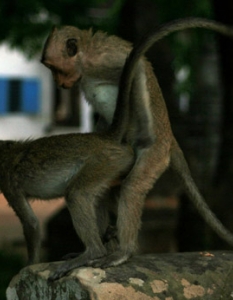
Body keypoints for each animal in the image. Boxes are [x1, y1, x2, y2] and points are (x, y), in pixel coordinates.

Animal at [41, 17, 233, 278]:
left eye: (56, 69)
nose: (58, 83)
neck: (87, 59)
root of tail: (171, 140)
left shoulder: (108, 59)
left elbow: (139, 67)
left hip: (155, 155)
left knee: (132, 188)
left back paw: (123, 251)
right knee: (103, 189)